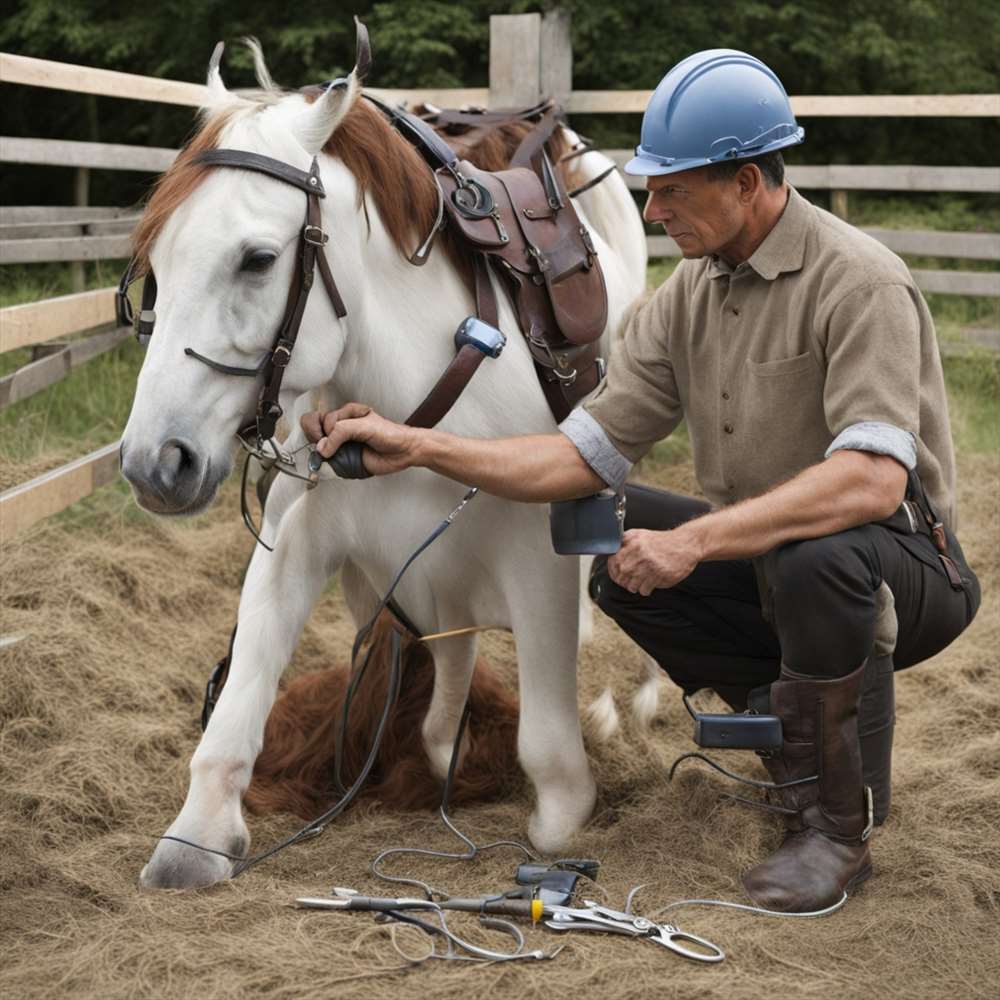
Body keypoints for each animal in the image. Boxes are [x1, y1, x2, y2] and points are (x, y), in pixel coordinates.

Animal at [121, 45, 648, 892]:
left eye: (257, 260)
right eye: (157, 261)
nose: (154, 464)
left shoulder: (532, 554)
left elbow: (551, 769)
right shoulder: (301, 536)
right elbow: (240, 702)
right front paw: (195, 837)